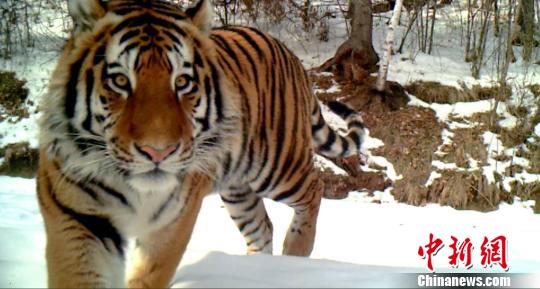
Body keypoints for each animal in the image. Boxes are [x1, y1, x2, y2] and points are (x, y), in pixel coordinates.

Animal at [38, 0, 368, 286]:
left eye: (183, 82)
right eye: (120, 81)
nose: (158, 152)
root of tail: (289, 53)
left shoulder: (173, 218)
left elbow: (149, 275)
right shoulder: (76, 218)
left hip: (276, 165)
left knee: (314, 187)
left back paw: (296, 252)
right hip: (237, 188)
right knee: (262, 227)